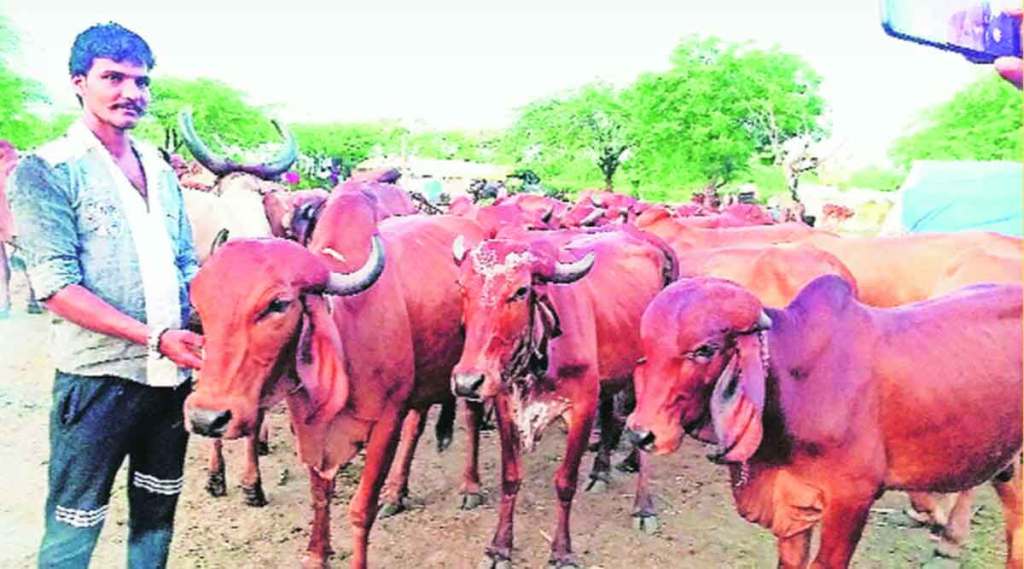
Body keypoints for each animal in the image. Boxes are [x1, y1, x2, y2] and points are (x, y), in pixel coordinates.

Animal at [183, 193, 483, 564]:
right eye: (200, 303)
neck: (346, 326)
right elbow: (320, 493)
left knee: (471, 417)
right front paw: (317, 553)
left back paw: (470, 487)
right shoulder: (310, 424)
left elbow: (361, 510)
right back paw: (396, 493)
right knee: (417, 424)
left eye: (278, 304)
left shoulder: (387, 422)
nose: (205, 418)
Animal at [452, 229, 675, 564]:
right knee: (611, 413)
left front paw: (562, 551)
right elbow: (510, 477)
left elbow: (565, 482)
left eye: (521, 291)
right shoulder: (505, 405)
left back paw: (643, 506)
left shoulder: (582, 407)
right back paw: (600, 472)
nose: (468, 381)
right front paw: (500, 546)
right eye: (462, 287)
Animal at [626, 274, 1019, 564]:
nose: (641, 434)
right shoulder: (792, 507)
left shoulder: (852, 502)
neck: (794, 385)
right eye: (646, 348)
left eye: (705, 350)